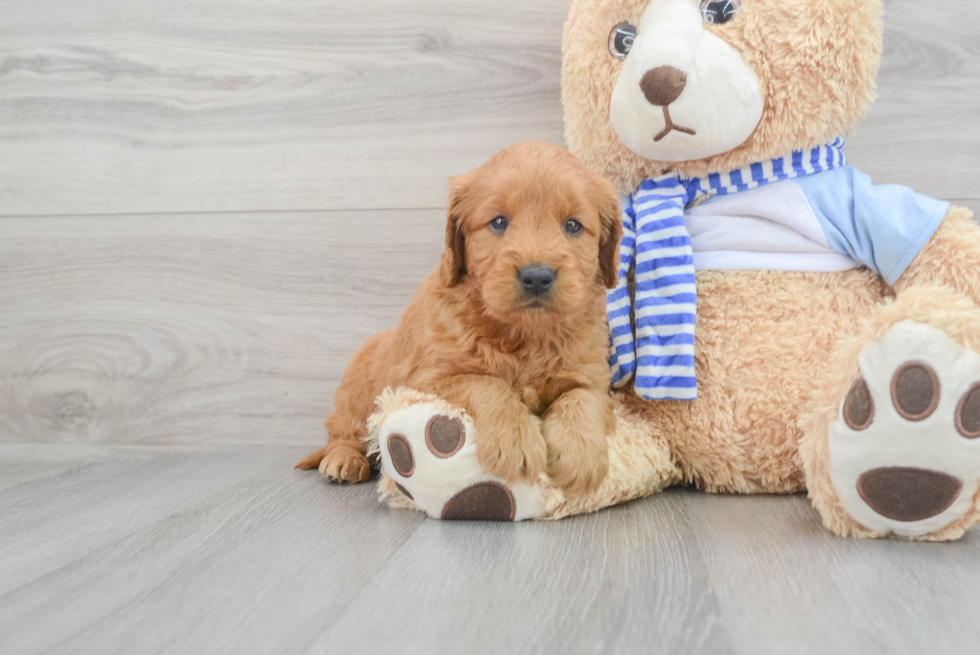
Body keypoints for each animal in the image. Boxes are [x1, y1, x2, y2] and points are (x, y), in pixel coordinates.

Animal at [294, 141, 624, 494]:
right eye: (498, 222)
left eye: (573, 225)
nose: (537, 277)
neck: (524, 334)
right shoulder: (427, 380)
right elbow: (486, 383)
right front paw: (514, 441)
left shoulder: (593, 376)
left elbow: (581, 398)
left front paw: (581, 455)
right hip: (357, 392)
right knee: (343, 432)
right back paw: (344, 460)